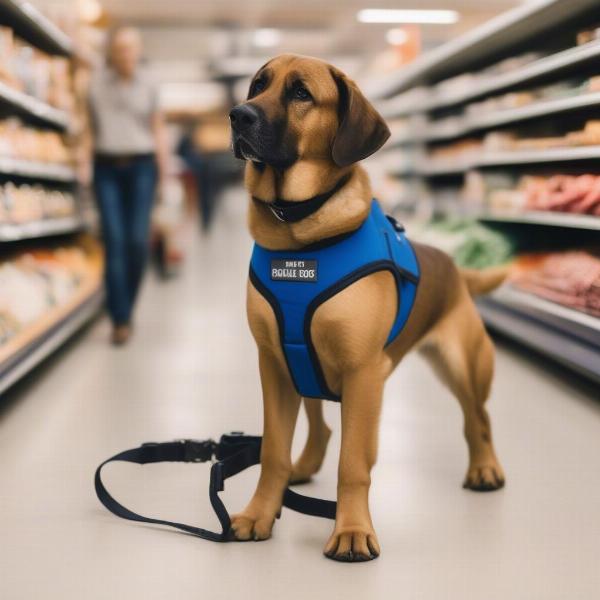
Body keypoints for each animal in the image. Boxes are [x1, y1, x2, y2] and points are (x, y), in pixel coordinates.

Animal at [230, 55, 506, 564]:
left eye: (301, 94)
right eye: (258, 85)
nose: (238, 115)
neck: (300, 237)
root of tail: (455, 267)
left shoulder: (362, 372)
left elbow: (354, 464)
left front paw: (352, 529)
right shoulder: (274, 365)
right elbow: (274, 451)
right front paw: (261, 512)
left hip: (463, 366)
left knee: (478, 419)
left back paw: (485, 468)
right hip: (305, 369)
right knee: (320, 429)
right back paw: (302, 468)